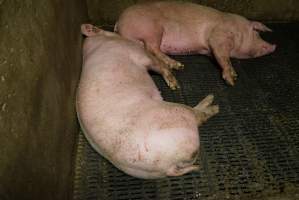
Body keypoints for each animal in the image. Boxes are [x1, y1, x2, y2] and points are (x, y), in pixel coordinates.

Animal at [76, 24, 219, 179]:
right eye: (113, 32)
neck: (98, 43)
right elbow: (159, 66)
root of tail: (168, 166)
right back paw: (213, 102)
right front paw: (174, 84)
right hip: (178, 113)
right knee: (199, 116)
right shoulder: (137, 53)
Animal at [116, 0, 278, 85]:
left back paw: (178, 66)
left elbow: (220, 57)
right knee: (153, 48)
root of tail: (119, 21)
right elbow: (223, 56)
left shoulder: (211, 51)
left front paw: (235, 75)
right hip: (153, 30)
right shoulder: (218, 36)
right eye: (257, 32)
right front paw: (231, 81)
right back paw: (178, 66)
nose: (274, 46)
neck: (237, 28)